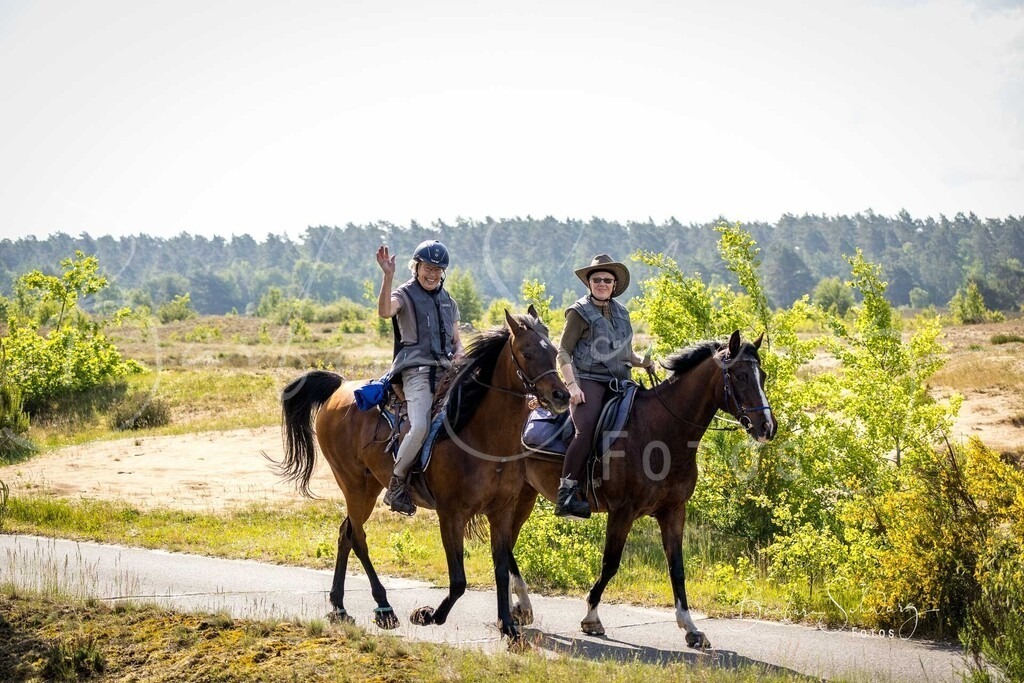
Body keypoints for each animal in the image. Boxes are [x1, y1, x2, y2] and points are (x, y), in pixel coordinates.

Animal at [271, 308, 569, 644]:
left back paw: (339, 605)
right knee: (357, 536)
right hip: (354, 483)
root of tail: (340, 388)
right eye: (527, 353)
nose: (561, 395)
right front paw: (429, 615)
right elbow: (458, 580)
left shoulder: (503, 511)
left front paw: (508, 625)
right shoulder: (451, 514)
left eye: (554, 352)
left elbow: (501, 568)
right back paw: (384, 608)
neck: (483, 437)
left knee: (345, 532)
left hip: (369, 485)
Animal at [522, 329, 776, 648]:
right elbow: (610, 563)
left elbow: (677, 568)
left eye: (762, 376)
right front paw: (591, 617)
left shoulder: (673, 511)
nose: (767, 427)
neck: (662, 432)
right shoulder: (622, 512)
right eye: (741, 376)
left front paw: (691, 628)